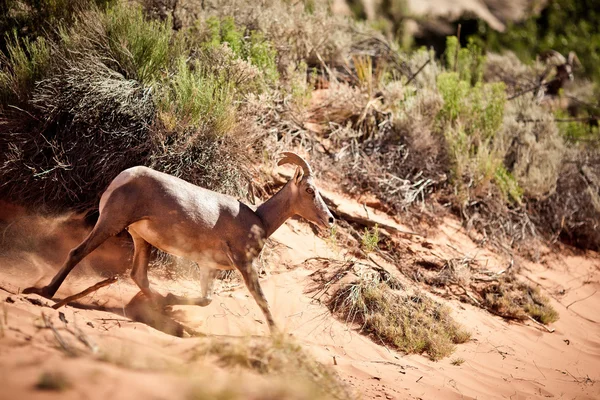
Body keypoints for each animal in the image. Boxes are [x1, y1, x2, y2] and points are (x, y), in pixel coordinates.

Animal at [24, 152, 332, 332]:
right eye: (309, 190)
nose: (329, 219)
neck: (259, 220)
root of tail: (125, 176)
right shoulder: (245, 265)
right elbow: (263, 301)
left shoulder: (210, 268)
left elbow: (206, 300)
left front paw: (170, 302)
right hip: (110, 224)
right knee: (77, 253)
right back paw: (44, 292)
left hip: (141, 239)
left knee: (138, 275)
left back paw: (158, 307)